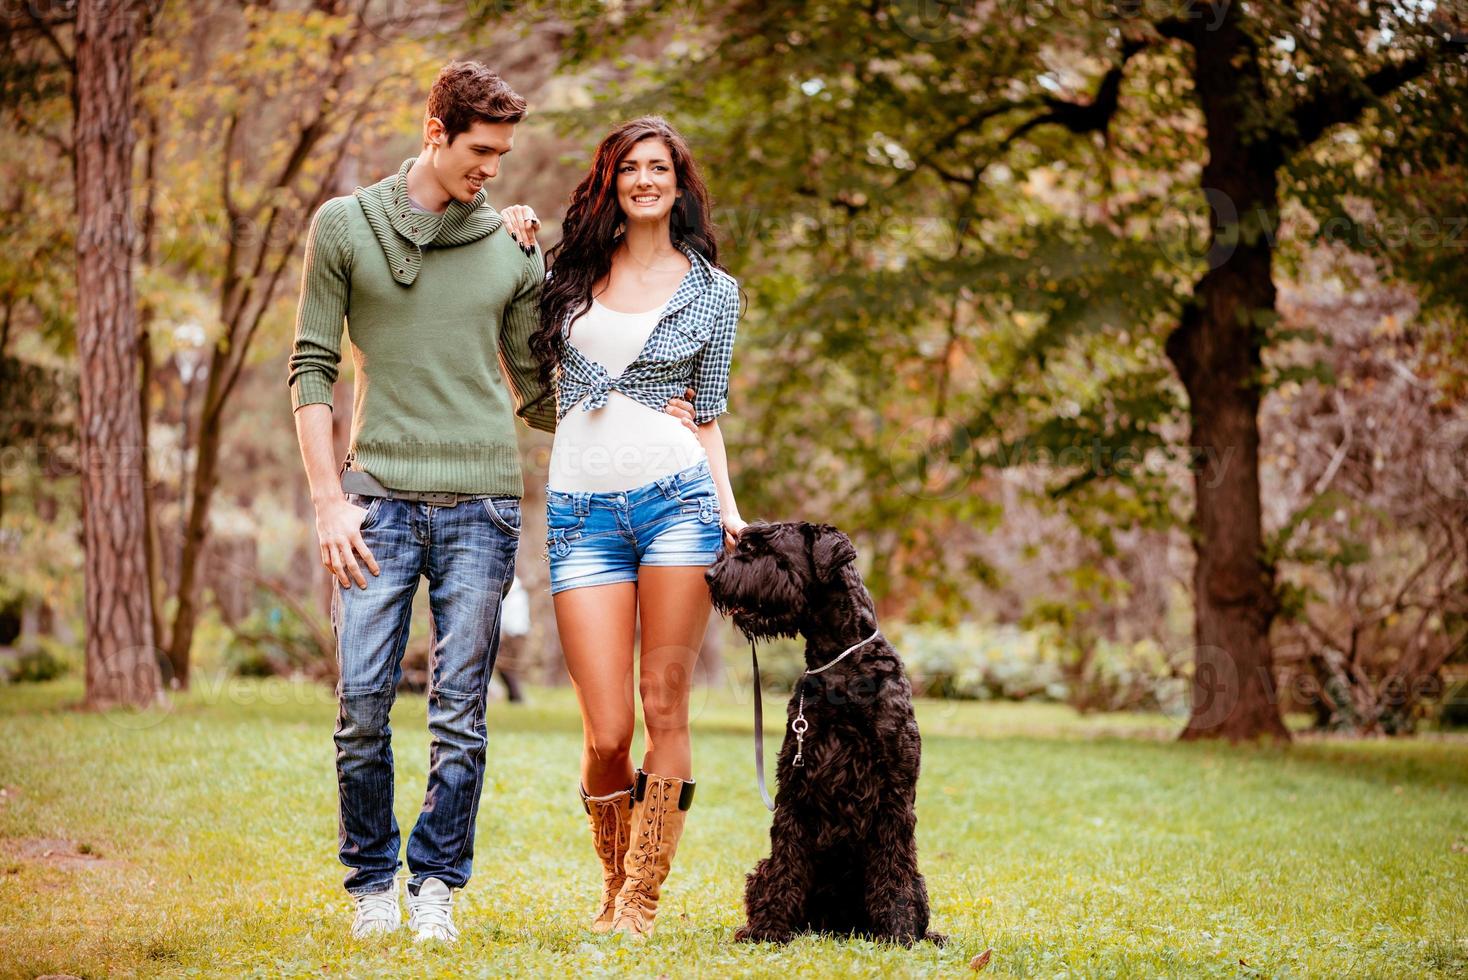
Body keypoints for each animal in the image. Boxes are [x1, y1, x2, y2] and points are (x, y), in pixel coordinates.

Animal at [704, 519, 945, 950]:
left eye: (768, 550)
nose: (712, 575)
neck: (841, 664)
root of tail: (838, 926)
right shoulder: (795, 790)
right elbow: (787, 863)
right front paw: (770, 930)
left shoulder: (894, 794)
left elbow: (893, 868)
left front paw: (898, 933)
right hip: (762, 870)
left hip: (917, 882)